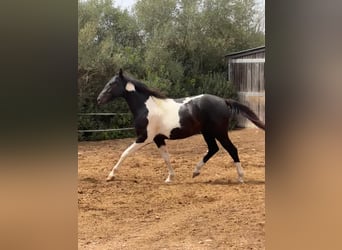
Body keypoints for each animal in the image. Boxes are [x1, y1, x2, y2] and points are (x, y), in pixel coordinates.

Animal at [97, 69, 266, 183]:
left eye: (112, 83)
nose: (99, 99)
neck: (146, 107)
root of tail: (224, 101)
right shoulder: (158, 139)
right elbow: (166, 157)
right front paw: (170, 178)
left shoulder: (144, 138)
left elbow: (124, 153)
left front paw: (111, 175)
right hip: (207, 132)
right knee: (213, 149)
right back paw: (195, 172)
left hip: (219, 132)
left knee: (232, 149)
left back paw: (240, 177)